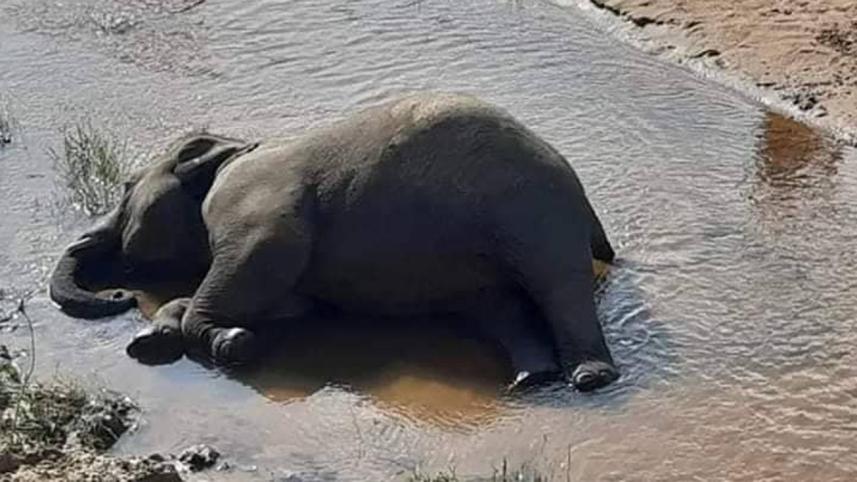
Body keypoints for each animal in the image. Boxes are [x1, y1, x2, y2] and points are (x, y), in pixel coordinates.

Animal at [49, 93, 619, 391]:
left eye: (126, 187)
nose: (120, 296)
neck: (232, 149)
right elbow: (286, 303)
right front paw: (154, 339)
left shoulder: (254, 203)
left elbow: (254, 262)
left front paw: (230, 343)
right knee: (498, 305)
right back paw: (530, 378)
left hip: (534, 211)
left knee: (557, 282)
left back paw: (589, 378)